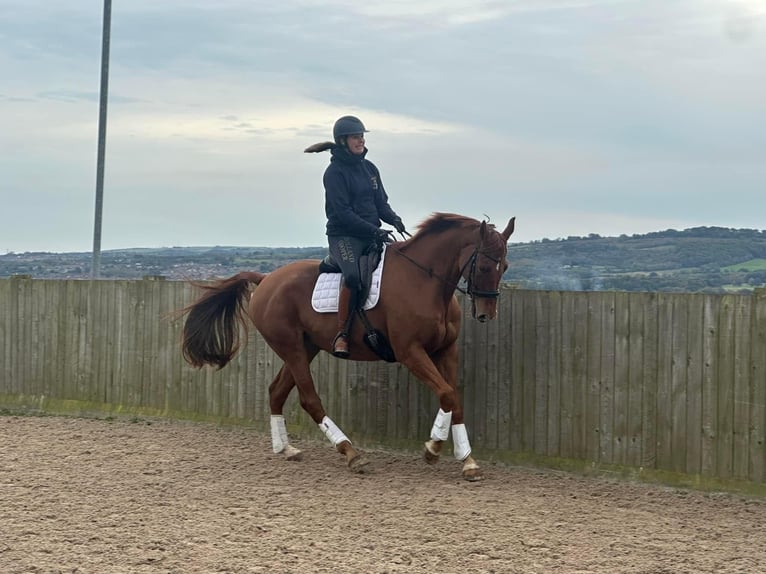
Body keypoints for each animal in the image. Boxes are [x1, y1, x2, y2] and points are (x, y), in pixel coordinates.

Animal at [181, 214, 516, 484]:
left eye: (505, 266)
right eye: (483, 265)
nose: (486, 314)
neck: (426, 282)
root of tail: (265, 279)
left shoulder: (446, 350)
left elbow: (454, 397)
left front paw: (468, 461)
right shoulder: (410, 352)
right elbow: (446, 393)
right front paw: (432, 448)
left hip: (305, 347)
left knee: (277, 391)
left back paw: (286, 448)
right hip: (291, 347)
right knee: (309, 399)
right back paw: (351, 453)